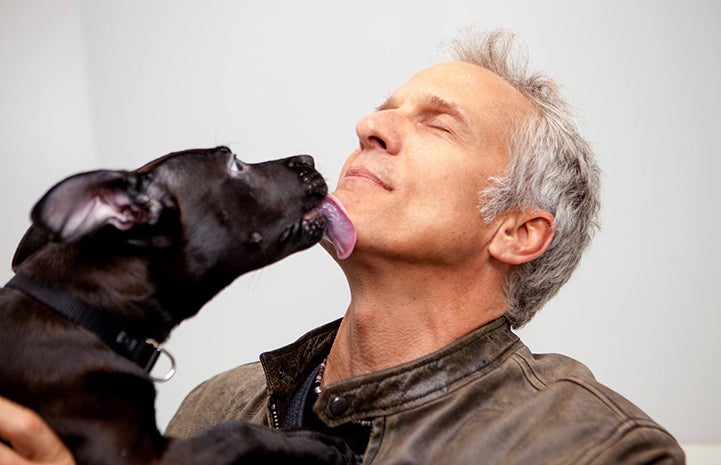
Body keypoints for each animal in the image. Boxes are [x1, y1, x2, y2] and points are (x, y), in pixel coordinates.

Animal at [0, 147, 358, 464]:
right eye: (235, 164)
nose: (308, 159)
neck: (84, 312)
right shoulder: (140, 457)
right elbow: (236, 433)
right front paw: (320, 445)